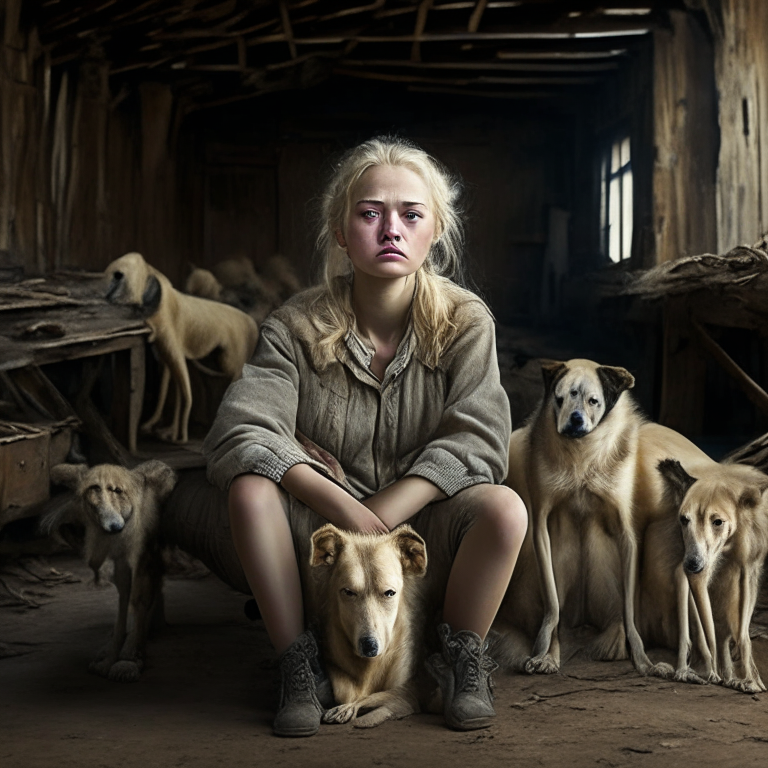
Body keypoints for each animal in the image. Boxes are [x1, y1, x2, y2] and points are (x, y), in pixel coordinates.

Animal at [103, 252, 260, 444]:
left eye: (121, 276)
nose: (109, 290)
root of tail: (254, 326)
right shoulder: (167, 355)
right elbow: (171, 389)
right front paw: (163, 430)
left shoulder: (173, 348)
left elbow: (184, 392)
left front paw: (180, 438)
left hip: (230, 362)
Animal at [656, 452, 768, 692]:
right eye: (684, 519)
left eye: (718, 521)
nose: (693, 563)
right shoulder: (696, 572)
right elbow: (705, 627)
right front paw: (711, 673)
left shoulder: (748, 569)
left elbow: (739, 631)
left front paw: (750, 681)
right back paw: (687, 671)